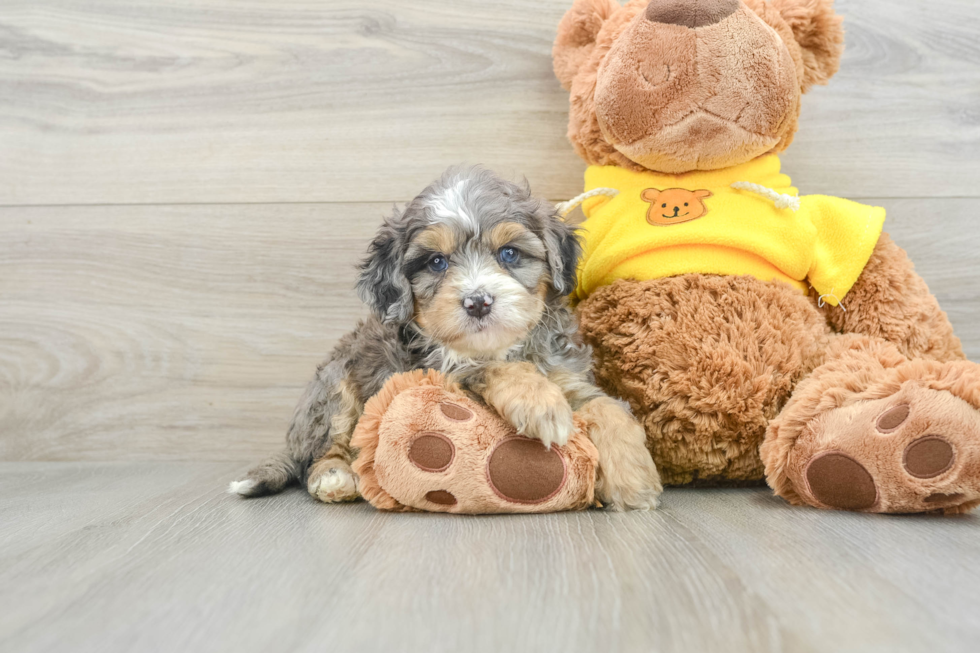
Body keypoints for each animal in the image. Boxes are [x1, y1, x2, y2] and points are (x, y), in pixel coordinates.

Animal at [229, 167, 660, 510]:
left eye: (509, 254)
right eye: (436, 262)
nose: (478, 301)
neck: (501, 346)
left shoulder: (567, 374)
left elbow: (607, 408)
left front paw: (633, 482)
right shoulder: (435, 373)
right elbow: (491, 369)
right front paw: (540, 403)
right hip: (333, 386)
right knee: (321, 450)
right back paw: (334, 477)